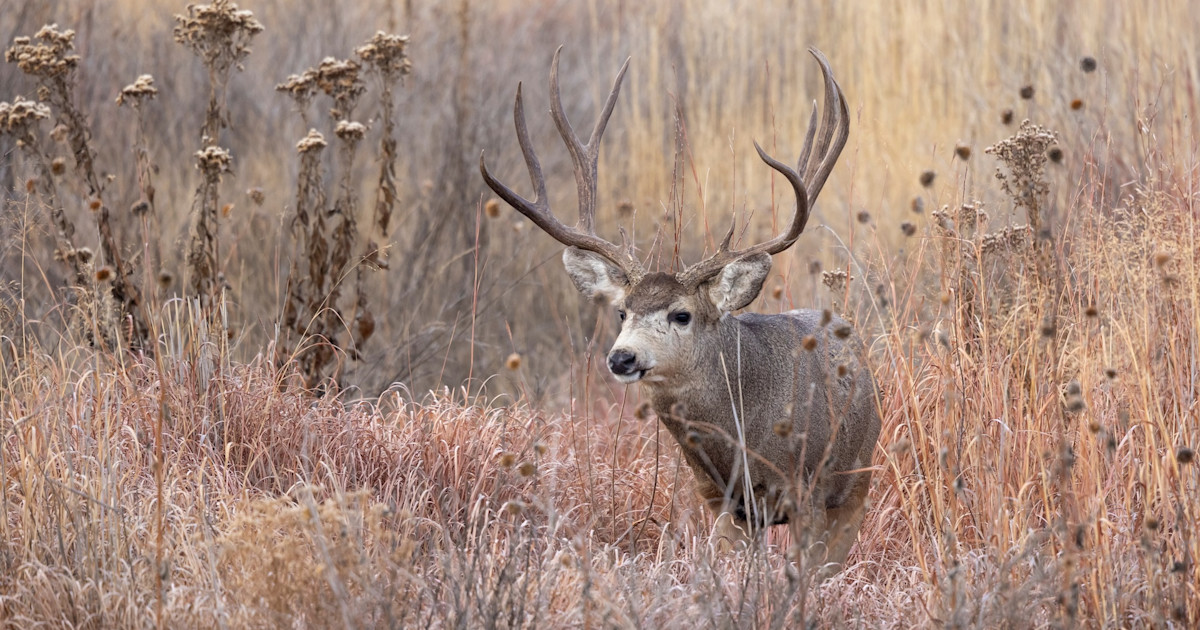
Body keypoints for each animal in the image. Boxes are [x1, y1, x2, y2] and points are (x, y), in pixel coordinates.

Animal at [480, 48, 880, 573]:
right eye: (622, 312)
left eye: (682, 314)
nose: (622, 358)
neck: (742, 435)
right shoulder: (720, 499)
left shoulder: (806, 490)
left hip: (856, 482)